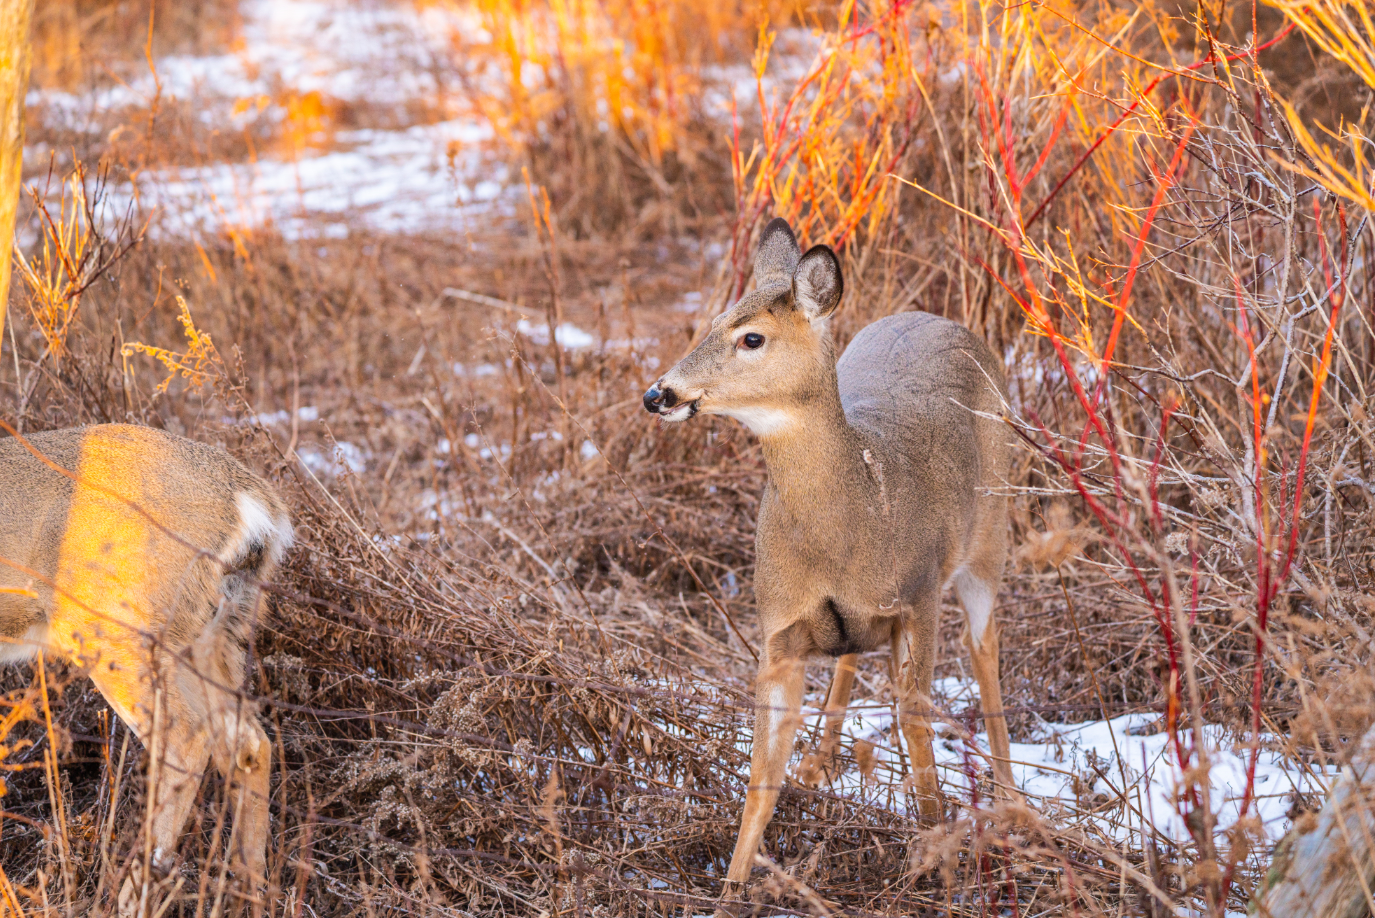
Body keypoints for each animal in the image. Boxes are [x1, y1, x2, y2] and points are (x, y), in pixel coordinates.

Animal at [0, 423, 292, 917]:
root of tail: (247, 499)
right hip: (208, 635)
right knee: (248, 743)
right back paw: (250, 895)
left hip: (114, 629)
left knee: (186, 738)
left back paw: (132, 895)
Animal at [642, 218, 1016, 909]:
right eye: (712, 321)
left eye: (751, 337)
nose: (660, 393)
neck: (848, 527)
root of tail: (937, 317)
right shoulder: (778, 628)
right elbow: (762, 774)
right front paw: (731, 889)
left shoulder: (918, 595)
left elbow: (916, 721)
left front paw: (934, 859)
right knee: (850, 655)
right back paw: (822, 760)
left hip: (991, 535)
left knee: (985, 648)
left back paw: (1010, 796)